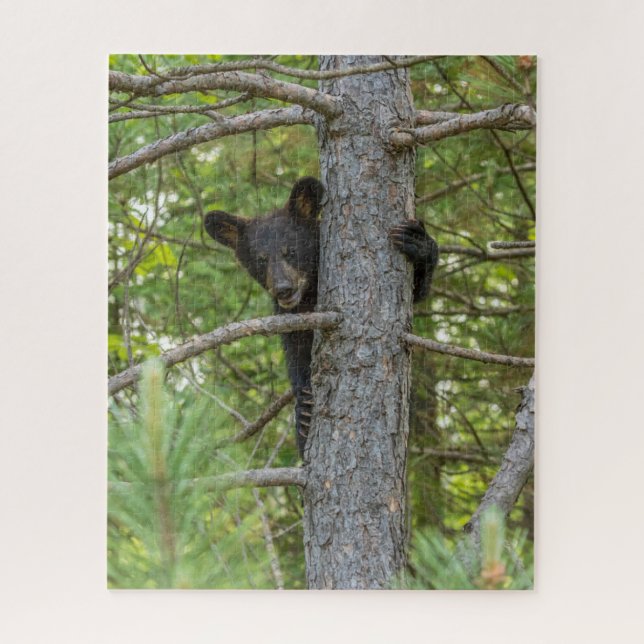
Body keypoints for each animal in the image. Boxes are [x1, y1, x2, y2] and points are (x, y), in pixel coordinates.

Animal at [204, 177, 438, 457]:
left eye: (291, 251)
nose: (284, 289)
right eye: (261, 260)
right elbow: (296, 353)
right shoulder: (292, 317)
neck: (308, 294)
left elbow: (416, 291)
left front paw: (417, 242)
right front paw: (304, 410)